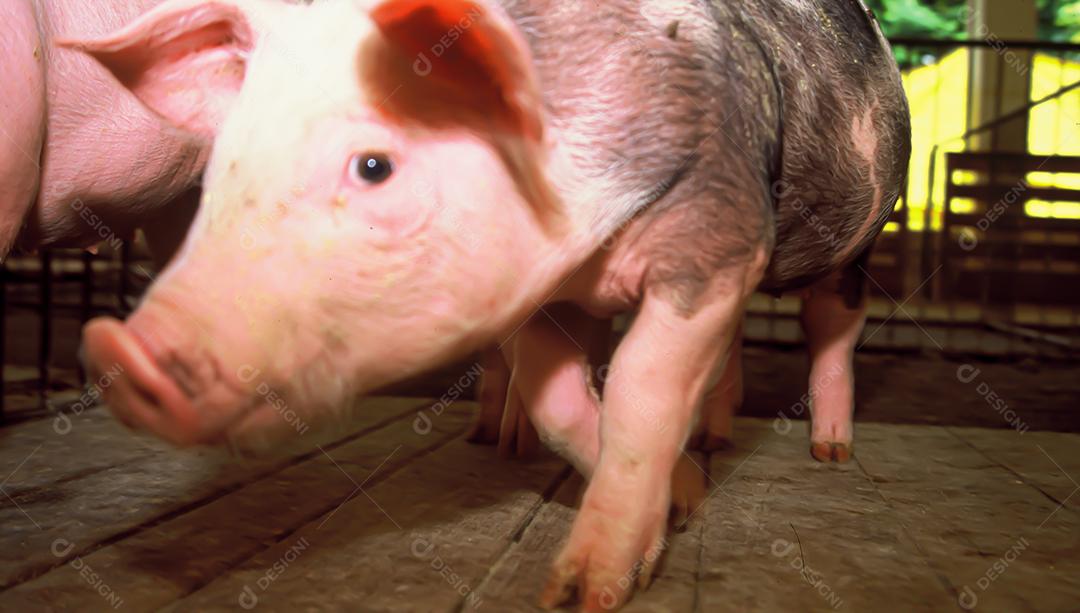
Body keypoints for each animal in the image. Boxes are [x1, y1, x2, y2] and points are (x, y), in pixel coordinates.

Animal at [75, 0, 910, 610]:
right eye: (225, 164)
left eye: (373, 166)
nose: (118, 350)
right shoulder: (535, 293)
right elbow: (560, 404)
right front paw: (683, 497)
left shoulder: (718, 231)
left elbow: (641, 388)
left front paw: (580, 591)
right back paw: (712, 441)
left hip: (857, 239)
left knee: (833, 328)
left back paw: (831, 451)